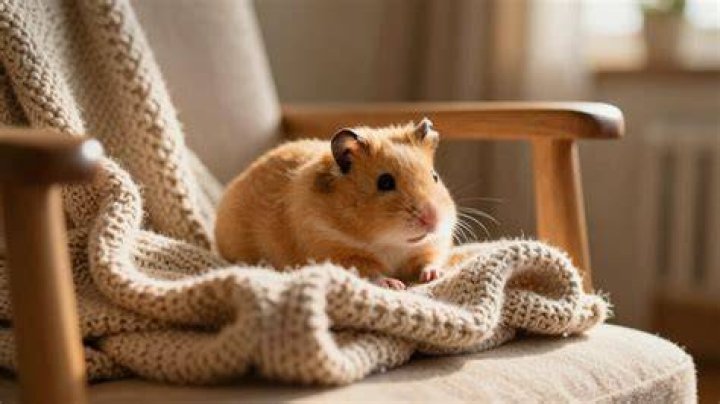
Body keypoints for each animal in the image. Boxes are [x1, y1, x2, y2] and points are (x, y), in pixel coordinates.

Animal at [215, 118, 457, 290]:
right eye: (385, 182)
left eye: (434, 176)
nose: (433, 219)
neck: (389, 243)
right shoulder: (337, 251)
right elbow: (371, 271)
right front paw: (394, 284)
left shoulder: (431, 245)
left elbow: (429, 260)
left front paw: (433, 275)